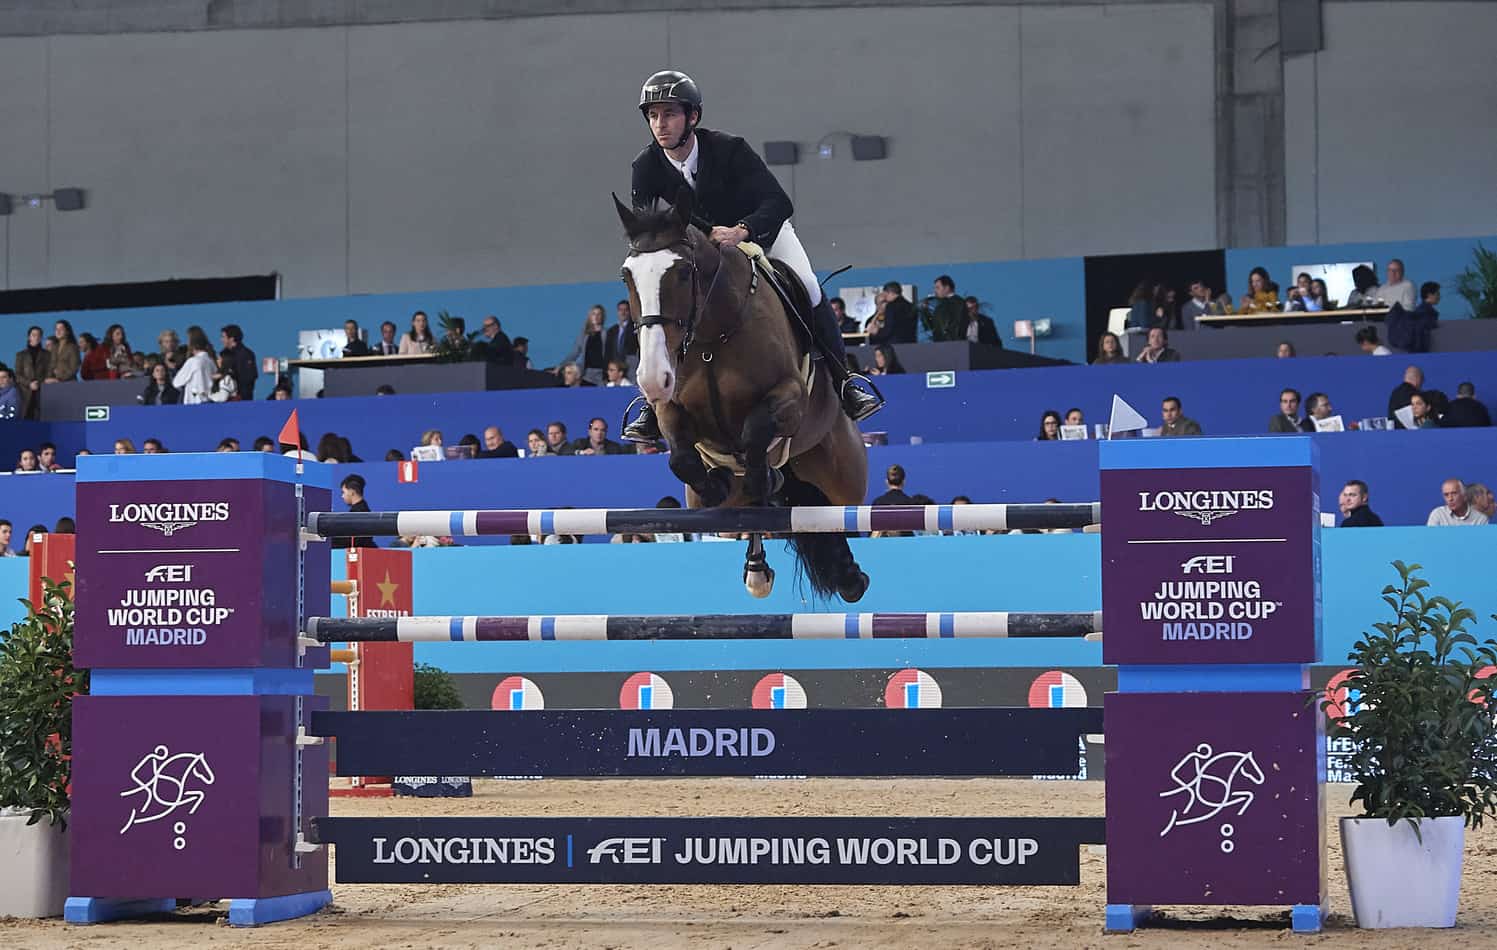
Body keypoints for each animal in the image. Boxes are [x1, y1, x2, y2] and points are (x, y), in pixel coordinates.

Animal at [613, 187, 874, 601]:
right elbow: (682, 459)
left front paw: (763, 477)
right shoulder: (670, 407)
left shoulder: (789, 396)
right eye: (627, 276)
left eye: (683, 273)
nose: (652, 377)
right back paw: (757, 566)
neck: (711, 338)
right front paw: (720, 481)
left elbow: (755, 431)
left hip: (843, 480)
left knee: (836, 514)